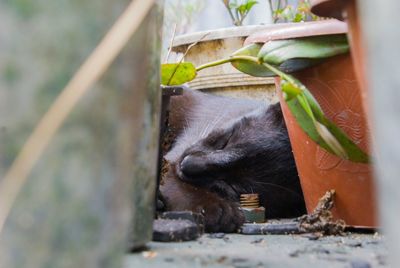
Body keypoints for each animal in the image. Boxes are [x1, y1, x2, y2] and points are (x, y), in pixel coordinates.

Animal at [160, 88, 306, 232]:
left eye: (231, 186)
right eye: (226, 141)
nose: (186, 164)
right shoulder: (171, 162)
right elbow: (182, 188)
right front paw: (217, 209)